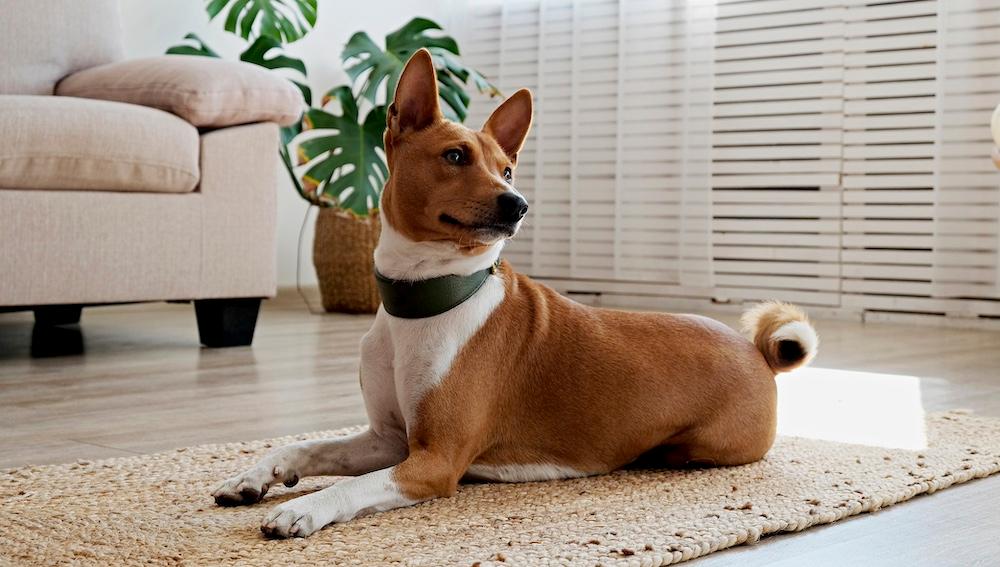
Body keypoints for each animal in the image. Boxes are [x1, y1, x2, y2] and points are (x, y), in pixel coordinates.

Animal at [215, 47, 816, 536]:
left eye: (506, 169)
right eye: (456, 156)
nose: (518, 202)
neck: (423, 301)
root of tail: (756, 352)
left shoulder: (433, 461)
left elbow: (350, 486)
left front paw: (301, 509)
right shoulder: (388, 439)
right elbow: (303, 446)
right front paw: (253, 476)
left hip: (701, 445)